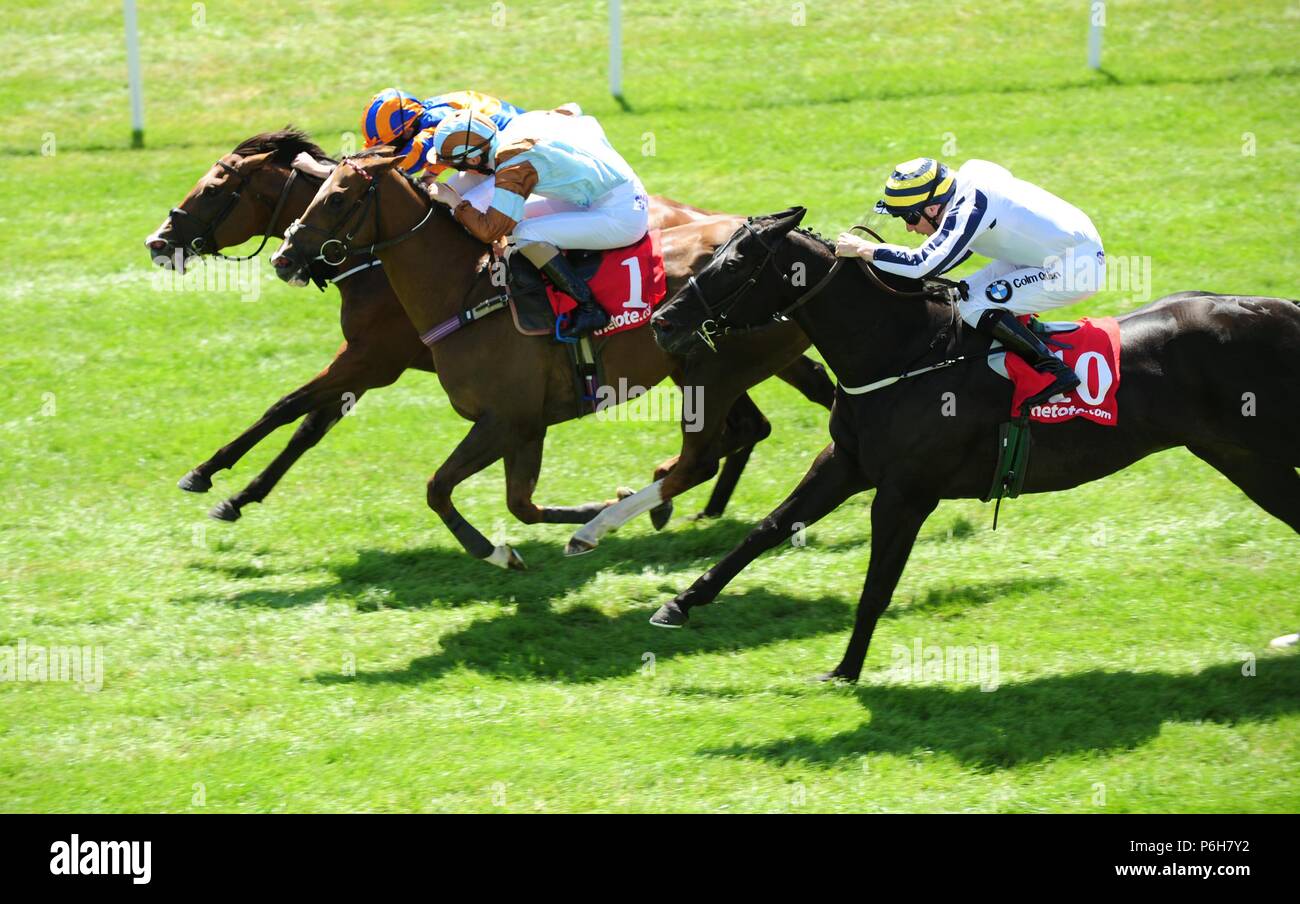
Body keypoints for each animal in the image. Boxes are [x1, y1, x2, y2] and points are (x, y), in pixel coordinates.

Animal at [144, 135, 832, 530]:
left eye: (215, 187)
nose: (158, 240)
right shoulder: (373, 364)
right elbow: (307, 422)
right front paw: (236, 492)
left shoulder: (374, 359)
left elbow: (288, 409)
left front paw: (210, 476)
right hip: (698, 366)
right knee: (750, 426)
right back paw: (691, 505)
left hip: (712, 368)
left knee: (766, 418)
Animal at [647, 208, 1300, 681]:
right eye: (713, 254)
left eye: (734, 262)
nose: (663, 321)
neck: (904, 352)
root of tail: (1282, 309)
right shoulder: (847, 464)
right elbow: (767, 530)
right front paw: (678, 603)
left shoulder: (906, 492)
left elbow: (877, 584)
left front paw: (845, 670)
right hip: (1245, 459)